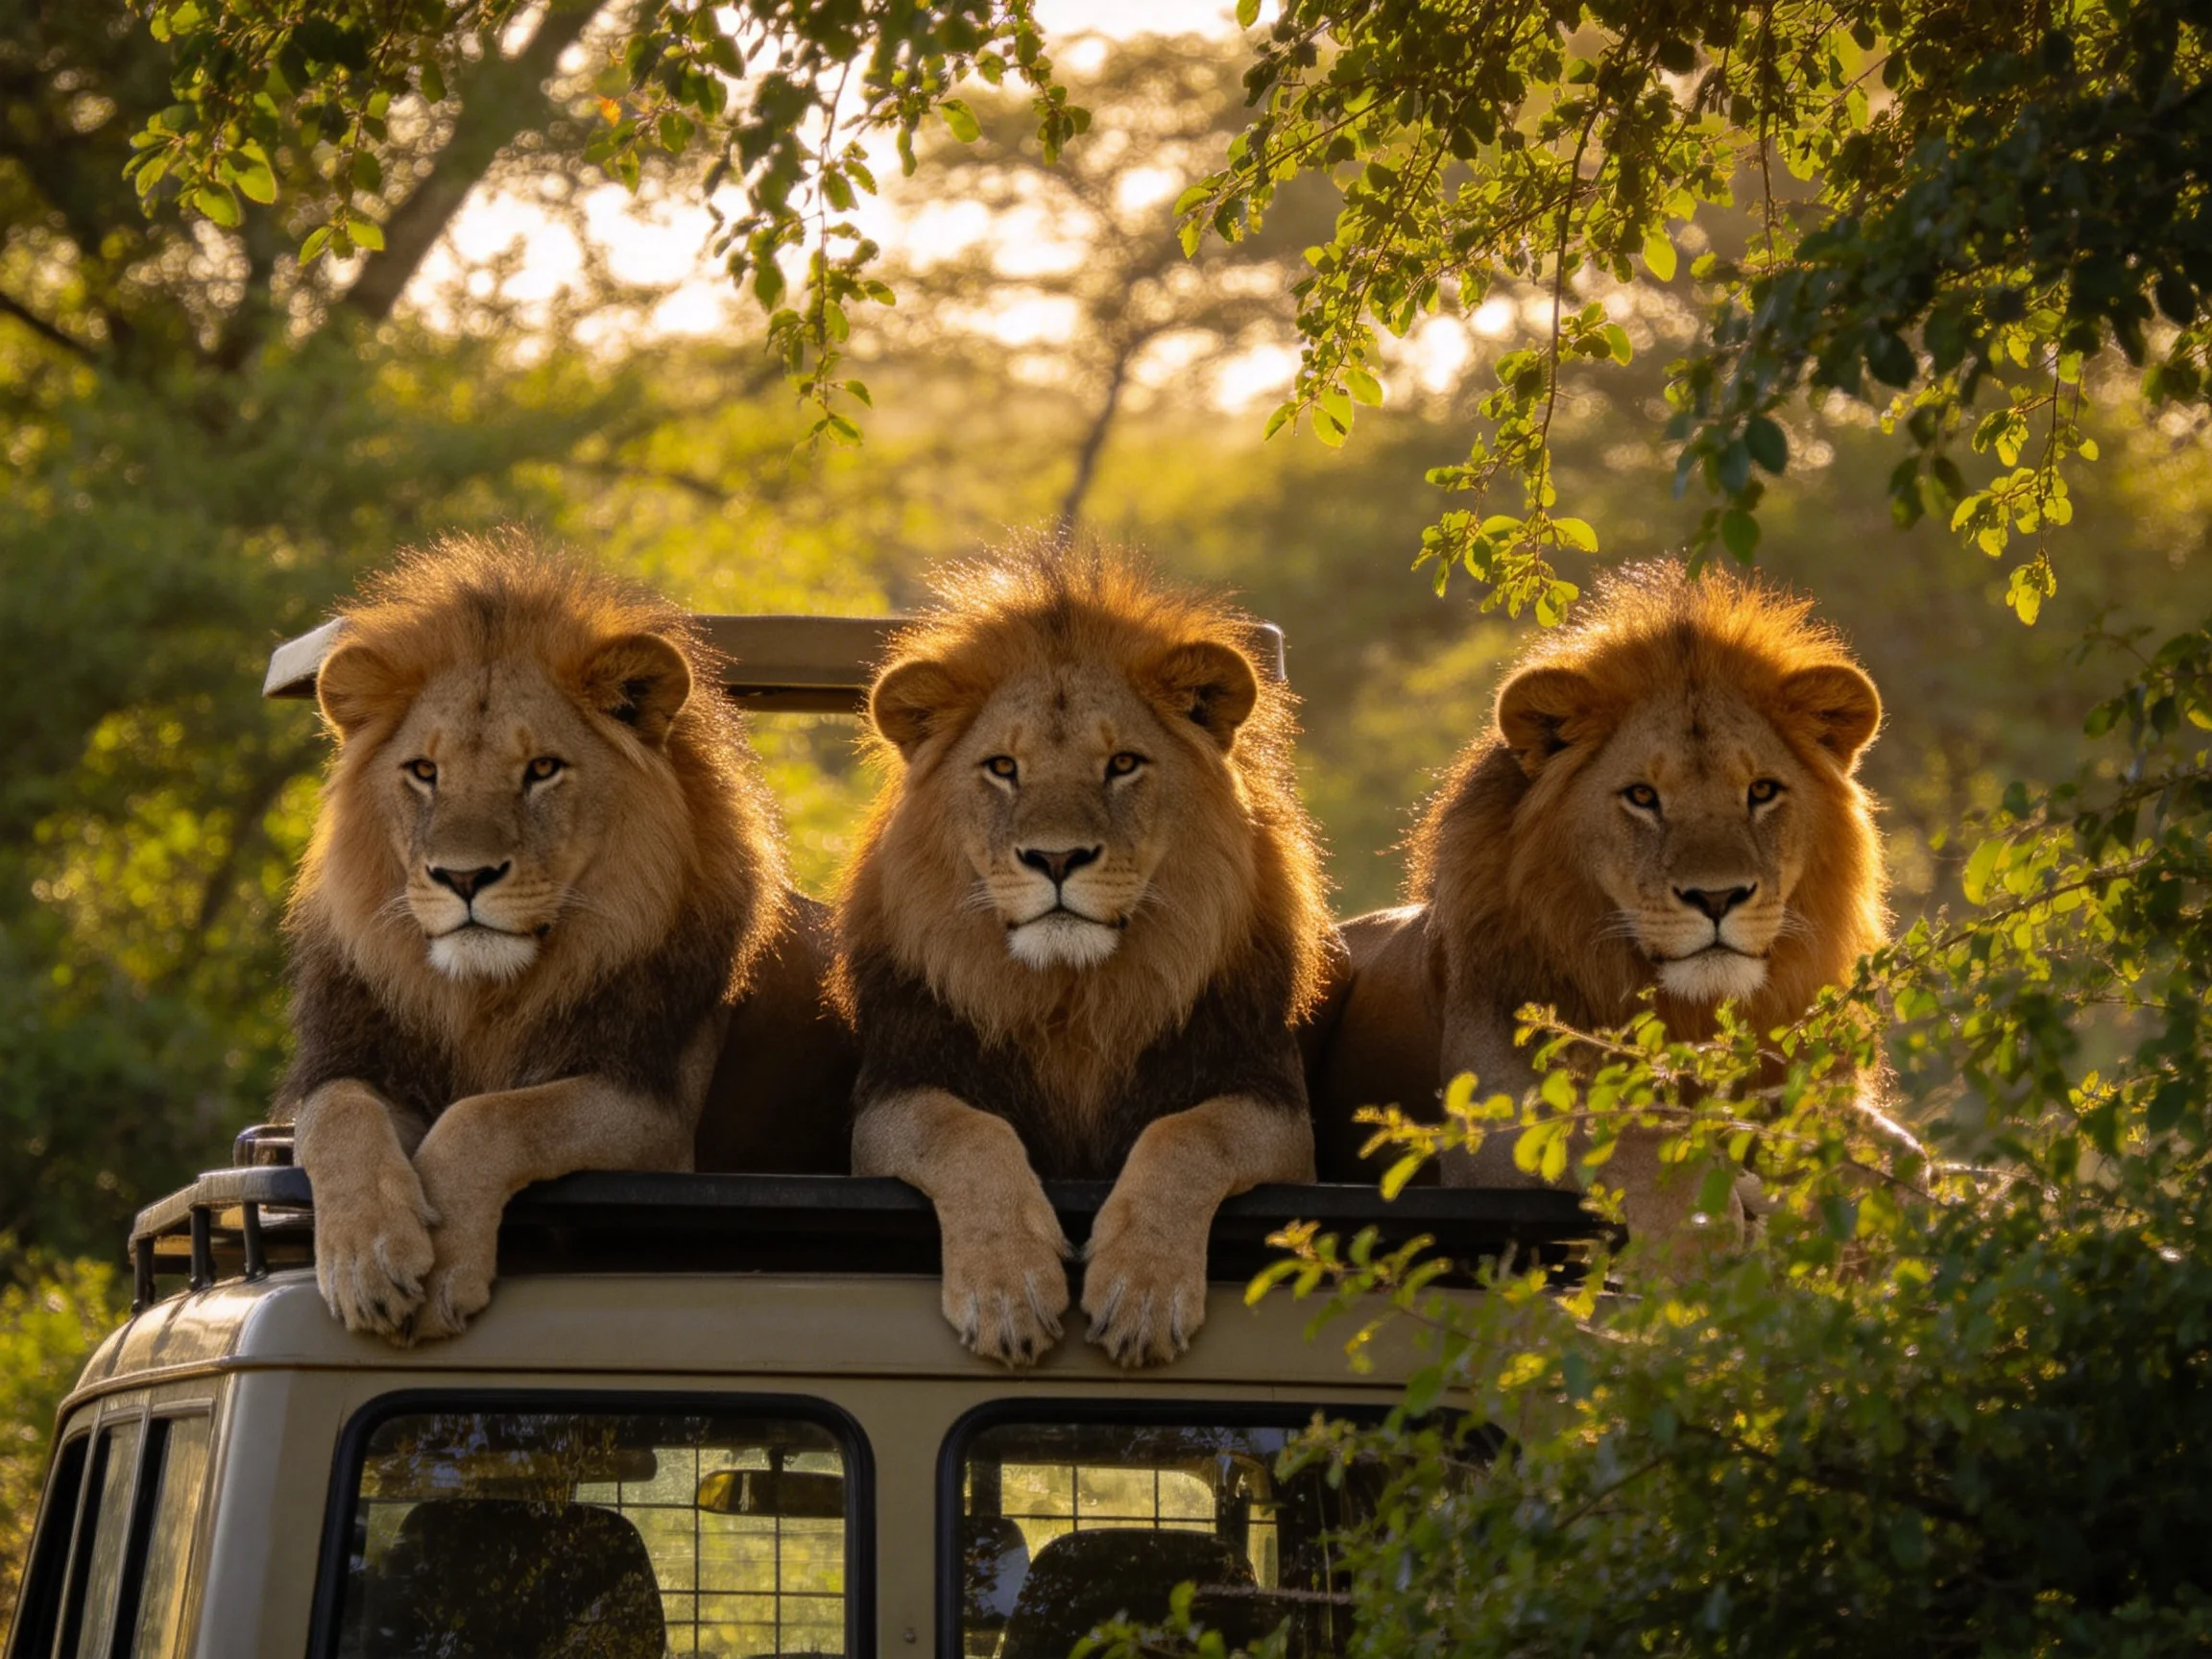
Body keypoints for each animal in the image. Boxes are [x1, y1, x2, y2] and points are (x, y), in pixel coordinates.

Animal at [276, 531, 798, 1342]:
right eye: (424, 770)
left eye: (543, 769)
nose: (464, 876)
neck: (485, 997)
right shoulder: (358, 1057)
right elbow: (337, 1116)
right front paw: (367, 1259)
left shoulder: (651, 1112)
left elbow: (491, 1115)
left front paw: (446, 1263)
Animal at [837, 545, 1329, 1368]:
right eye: (1003, 767)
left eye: (1123, 763)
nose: (1057, 858)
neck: (1073, 994)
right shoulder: (893, 1094)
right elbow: (966, 1132)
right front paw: (1007, 1291)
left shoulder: (1274, 1105)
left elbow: (1189, 1134)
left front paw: (1142, 1292)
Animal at [1310, 560, 1885, 1252]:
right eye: (1642, 796)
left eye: (1762, 791)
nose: (1716, 896)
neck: (1692, 1012)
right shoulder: (1491, 1142)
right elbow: (1645, 1139)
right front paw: (1701, 1243)